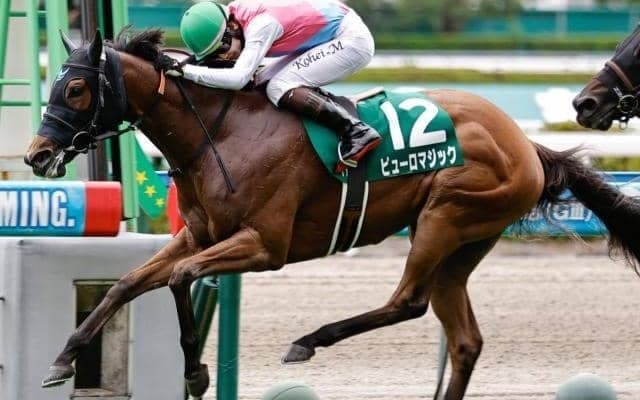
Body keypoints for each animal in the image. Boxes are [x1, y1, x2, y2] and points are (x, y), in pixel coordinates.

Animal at [24, 29, 640, 400]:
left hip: (445, 218)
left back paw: (309, 340)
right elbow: (126, 283)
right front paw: (62, 359)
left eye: (75, 89)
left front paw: (196, 373)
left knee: (407, 302)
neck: (220, 133)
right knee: (464, 340)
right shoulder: (198, 234)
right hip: (462, 246)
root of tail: (526, 143)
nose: (35, 154)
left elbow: (179, 278)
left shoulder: (264, 246)